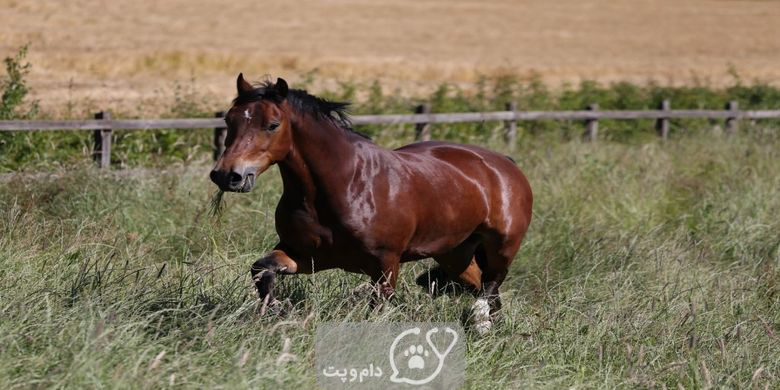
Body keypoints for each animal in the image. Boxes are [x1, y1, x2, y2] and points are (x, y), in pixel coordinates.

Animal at [210, 74, 532, 334]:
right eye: (229, 120)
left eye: (272, 125)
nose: (227, 175)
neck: (344, 186)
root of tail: (504, 164)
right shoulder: (305, 256)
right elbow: (261, 269)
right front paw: (277, 311)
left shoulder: (385, 265)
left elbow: (376, 311)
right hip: (455, 255)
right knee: (485, 289)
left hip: (501, 247)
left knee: (491, 285)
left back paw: (481, 323)